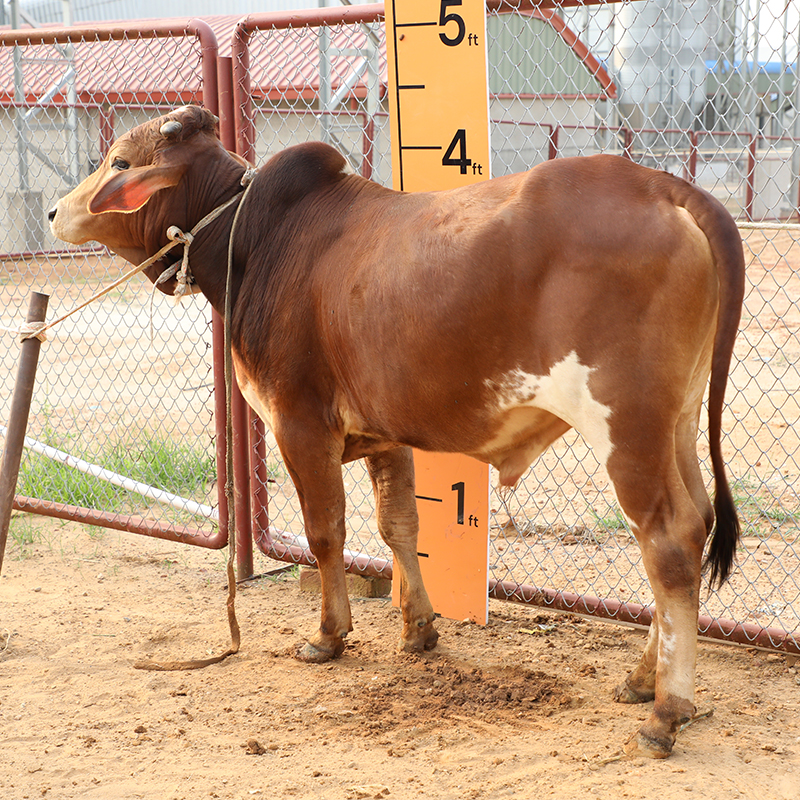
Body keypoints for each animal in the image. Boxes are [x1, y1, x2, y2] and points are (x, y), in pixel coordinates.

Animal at [49, 105, 745, 758]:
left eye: (118, 162)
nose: (57, 211)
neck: (255, 240)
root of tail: (661, 186)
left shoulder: (300, 425)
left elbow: (326, 532)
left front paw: (328, 635)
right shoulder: (385, 436)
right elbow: (398, 526)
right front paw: (419, 627)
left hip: (626, 429)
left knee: (669, 541)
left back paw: (665, 713)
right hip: (677, 423)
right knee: (697, 521)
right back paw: (642, 680)